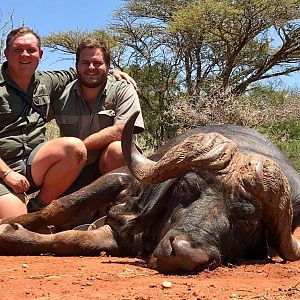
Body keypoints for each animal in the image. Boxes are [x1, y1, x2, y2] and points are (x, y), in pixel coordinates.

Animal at [0, 110, 300, 274]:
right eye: (185, 187)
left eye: (248, 220)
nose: (187, 255)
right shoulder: (118, 179)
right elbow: (58, 207)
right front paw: (9, 225)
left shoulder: (117, 237)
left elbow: (72, 241)